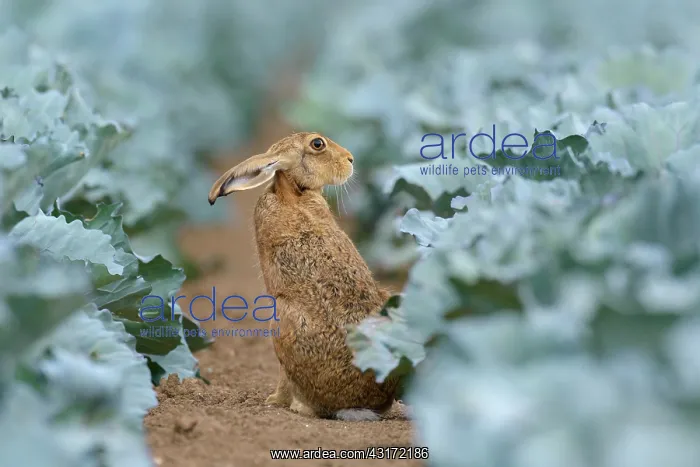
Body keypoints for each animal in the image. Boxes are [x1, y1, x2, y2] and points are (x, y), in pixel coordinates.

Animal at [208, 132, 399, 421]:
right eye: (318, 144)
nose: (350, 159)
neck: (292, 192)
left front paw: (273, 401)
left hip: (280, 322)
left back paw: (287, 403)